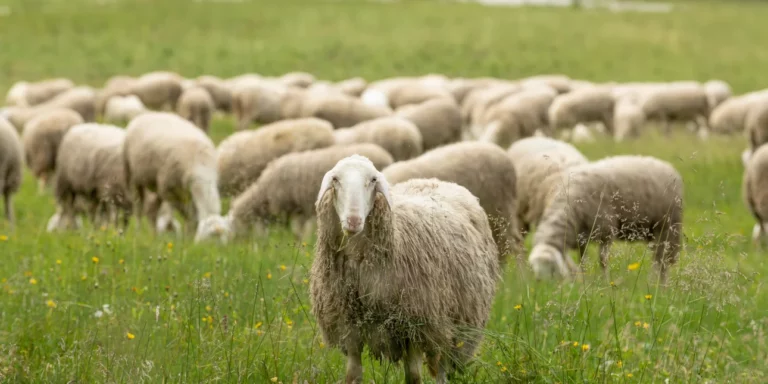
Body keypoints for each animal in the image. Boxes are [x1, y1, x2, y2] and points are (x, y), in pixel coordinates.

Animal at [308, 156, 500, 384]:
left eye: (373, 180)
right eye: (336, 179)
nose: (353, 220)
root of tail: (432, 180)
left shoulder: (414, 326)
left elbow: (414, 377)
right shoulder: (349, 327)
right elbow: (353, 376)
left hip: (454, 322)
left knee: (442, 366)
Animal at [528, 154, 684, 284]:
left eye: (551, 268)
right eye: (535, 268)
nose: (541, 284)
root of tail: (666, 165)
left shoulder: (605, 230)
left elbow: (603, 261)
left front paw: (605, 282)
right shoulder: (581, 237)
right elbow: (582, 261)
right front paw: (584, 282)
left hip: (667, 227)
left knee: (662, 260)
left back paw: (659, 285)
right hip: (652, 230)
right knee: (657, 258)